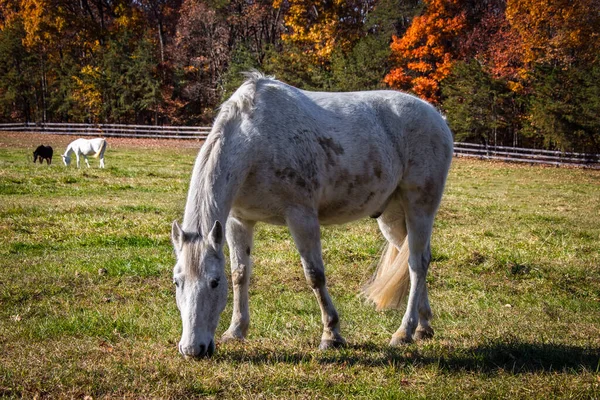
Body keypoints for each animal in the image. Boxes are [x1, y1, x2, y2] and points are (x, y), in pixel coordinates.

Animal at [171, 72, 452, 360]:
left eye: (214, 282)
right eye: (177, 282)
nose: (193, 349)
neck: (254, 141)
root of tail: (436, 116)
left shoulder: (301, 216)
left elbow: (314, 275)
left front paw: (331, 335)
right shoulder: (238, 221)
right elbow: (240, 273)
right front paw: (236, 330)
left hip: (420, 206)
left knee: (417, 263)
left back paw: (404, 332)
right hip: (392, 216)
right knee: (412, 258)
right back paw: (423, 326)